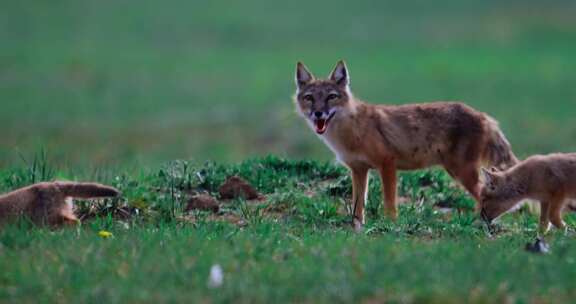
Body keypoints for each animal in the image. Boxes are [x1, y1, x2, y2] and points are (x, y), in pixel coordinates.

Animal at [294, 60, 516, 228]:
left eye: (331, 97)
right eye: (309, 98)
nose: (318, 113)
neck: (351, 131)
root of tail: (484, 116)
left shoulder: (387, 163)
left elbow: (389, 201)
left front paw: (390, 225)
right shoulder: (358, 169)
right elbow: (358, 204)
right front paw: (357, 226)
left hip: (461, 172)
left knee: (483, 194)